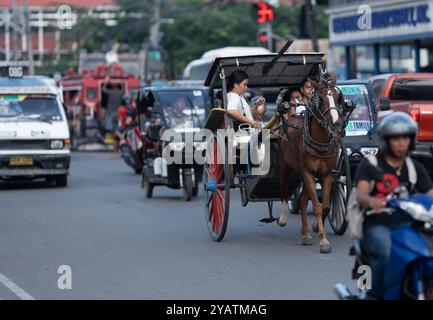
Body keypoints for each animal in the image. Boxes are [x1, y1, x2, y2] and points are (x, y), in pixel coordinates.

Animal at [276, 77, 348, 252]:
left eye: (337, 97)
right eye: (320, 99)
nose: (336, 124)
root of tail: (289, 118)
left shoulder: (326, 174)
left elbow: (326, 206)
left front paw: (316, 227)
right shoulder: (308, 172)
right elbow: (316, 206)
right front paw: (324, 241)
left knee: (302, 200)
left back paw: (306, 234)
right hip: (286, 167)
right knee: (283, 190)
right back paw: (283, 218)